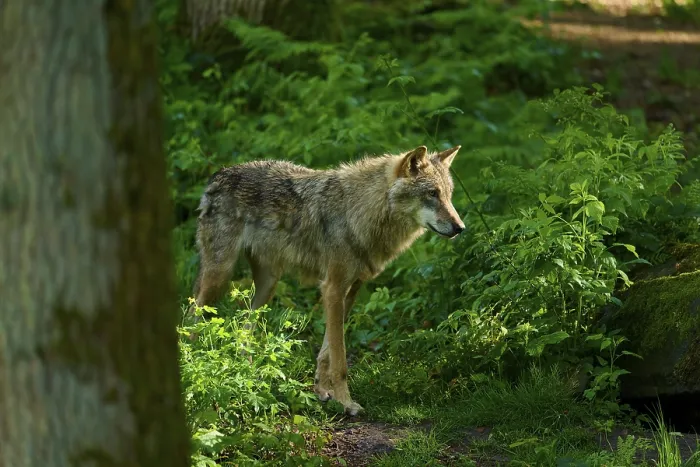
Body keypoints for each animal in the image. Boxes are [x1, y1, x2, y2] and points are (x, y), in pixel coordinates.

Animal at [190, 145, 465, 415]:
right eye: (432, 193)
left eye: (448, 195)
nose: (460, 228)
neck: (361, 211)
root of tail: (219, 174)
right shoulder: (332, 288)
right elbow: (340, 360)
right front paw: (347, 403)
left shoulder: (350, 290)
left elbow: (325, 353)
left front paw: (322, 391)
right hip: (219, 276)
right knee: (193, 315)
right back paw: (194, 367)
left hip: (267, 285)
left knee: (245, 329)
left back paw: (250, 374)